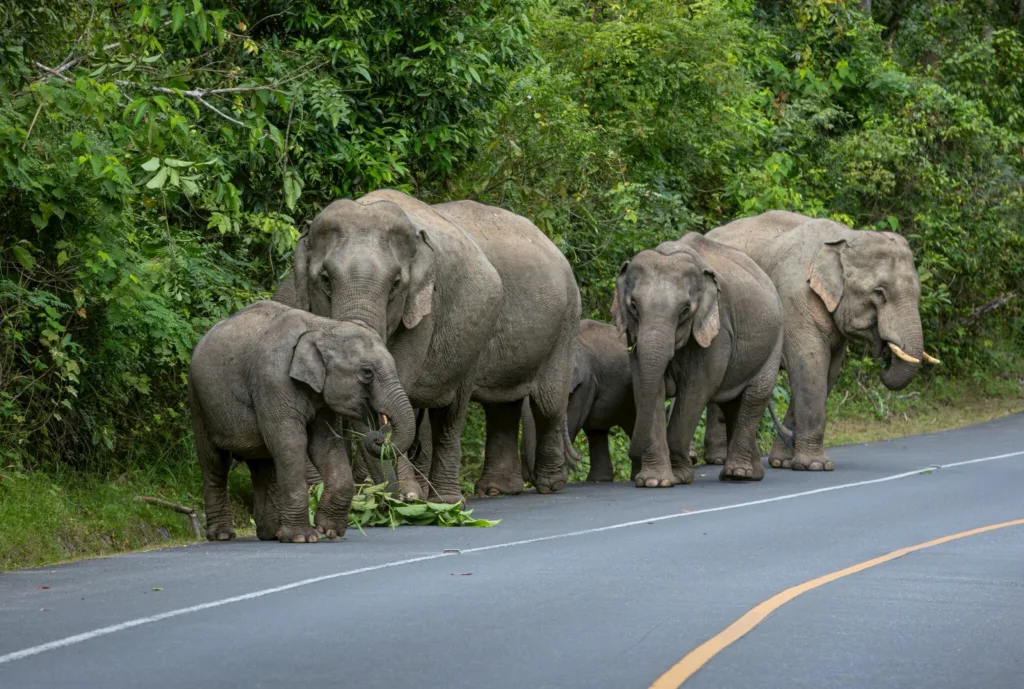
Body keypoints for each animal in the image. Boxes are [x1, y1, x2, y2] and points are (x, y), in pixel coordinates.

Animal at [188, 300, 415, 543]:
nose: (379, 436)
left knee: (261, 466)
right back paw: (222, 535)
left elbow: (325, 445)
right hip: (199, 403)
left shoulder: (321, 395)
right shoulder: (273, 382)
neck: (323, 326)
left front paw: (329, 530)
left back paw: (270, 534)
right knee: (215, 464)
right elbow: (291, 445)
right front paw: (302, 537)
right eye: (367, 372)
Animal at [275, 189, 580, 501]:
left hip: (552, 326)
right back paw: (494, 490)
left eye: (396, 283)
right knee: (501, 407)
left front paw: (398, 495)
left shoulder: (424, 314)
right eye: (325, 280)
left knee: (536, 405)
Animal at [612, 232, 785, 487]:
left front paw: (679, 476)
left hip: (774, 342)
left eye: (685, 310)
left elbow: (696, 389)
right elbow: (646, 386)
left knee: (755, 396)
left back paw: (738, 474)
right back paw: (749, 473)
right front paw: (654, 481)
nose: (630, 458)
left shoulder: (719, 332)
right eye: (633, 306)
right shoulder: (632, 334)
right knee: (732, 405)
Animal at [704, 211, 939, 471]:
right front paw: (816, 466)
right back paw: (716, 460)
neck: (845, 237)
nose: (885, 360)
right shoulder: (795, 300)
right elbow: (811, 366)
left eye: (919, 292)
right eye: (879, 293)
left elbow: (828, 373)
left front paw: (783, 461)